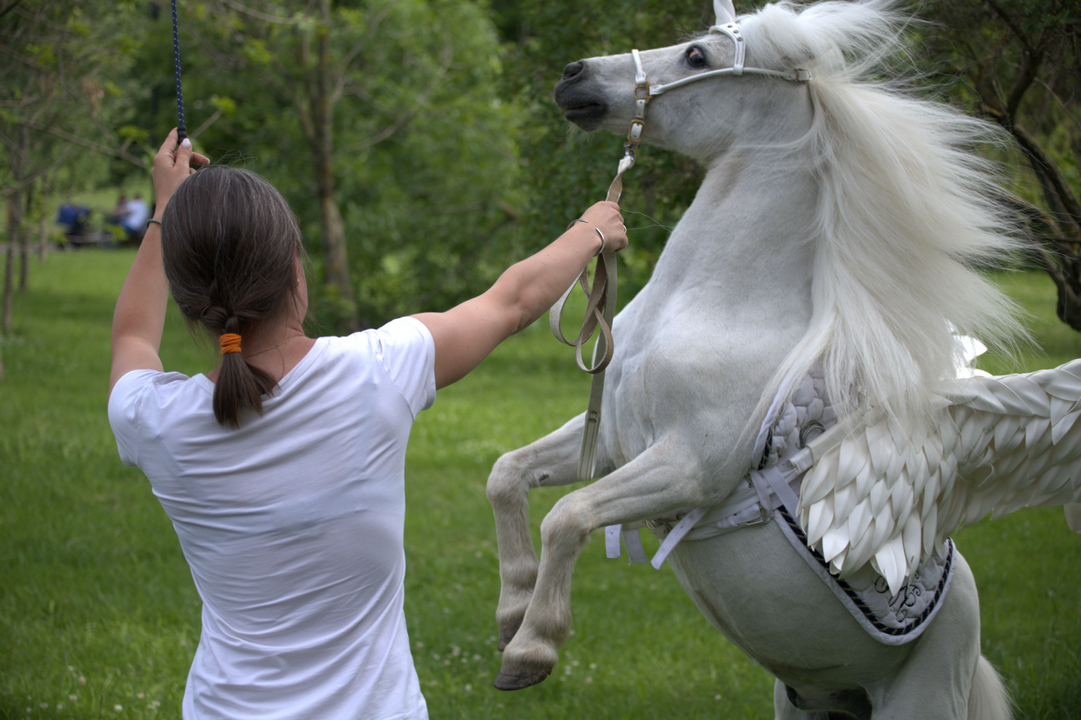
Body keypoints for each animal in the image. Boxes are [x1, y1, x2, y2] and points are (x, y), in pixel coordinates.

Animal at [488, 2, 1081, 713]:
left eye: (697, 56)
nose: (573, 76)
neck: (716, 309)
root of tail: (970, 636)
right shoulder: (614, 442)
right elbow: (507, 474)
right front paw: (510, 612)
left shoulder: (690, 465)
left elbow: (567, 515)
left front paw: (531, 647)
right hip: (801, 701)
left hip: (923, 696)